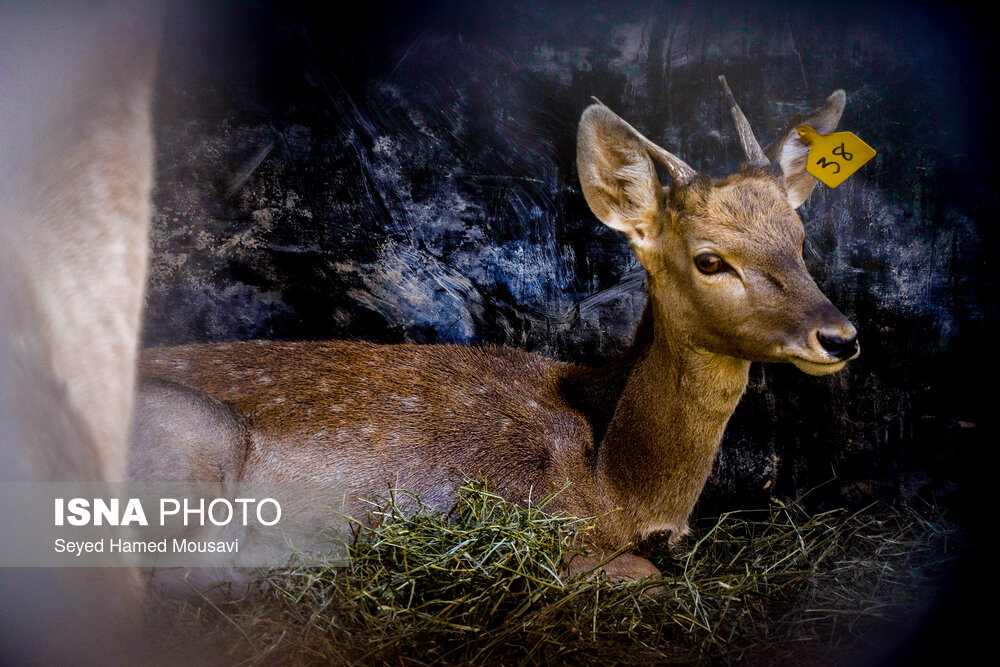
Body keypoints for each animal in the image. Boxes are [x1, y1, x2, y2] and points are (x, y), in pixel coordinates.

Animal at [131, 81, 860, 584]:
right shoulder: (534, 514)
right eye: (711, 260)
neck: (620, 484)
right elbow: (646, 576)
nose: (841, 337)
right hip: (187, 438)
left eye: (800, 240)